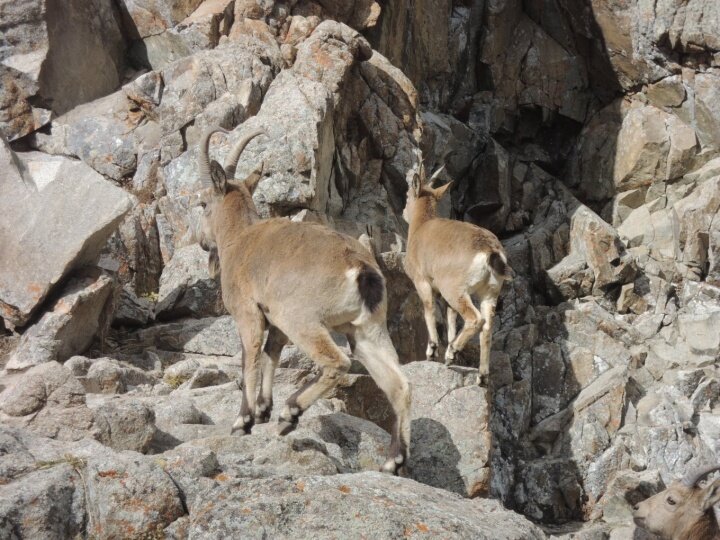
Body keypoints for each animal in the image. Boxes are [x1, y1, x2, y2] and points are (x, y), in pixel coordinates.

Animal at [194, 125, 414, 472]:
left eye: (202, 204)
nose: (203, 242)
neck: (239, 238)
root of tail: (361, 268)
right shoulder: (274, 321)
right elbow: (271, 353)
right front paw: (262, 409)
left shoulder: (249, 313)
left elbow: (250, 357)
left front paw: (243, 421)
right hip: (367, 329)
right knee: (399, 385)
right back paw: (393, 461)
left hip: (301, 319)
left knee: (337, 362)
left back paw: (291, 413)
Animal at [404, 165, 512, 384]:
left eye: (407, 194)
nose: (404, 211)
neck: (421, 227)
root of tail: (491, 251)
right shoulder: (444, 297)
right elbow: (451, 318)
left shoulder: (423, 281)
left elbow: (428, 310)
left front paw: (432, 351)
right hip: (490, 292)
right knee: (487, 328)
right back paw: (482, 376)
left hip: (455, 289)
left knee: (476, 319)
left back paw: (451, 354)